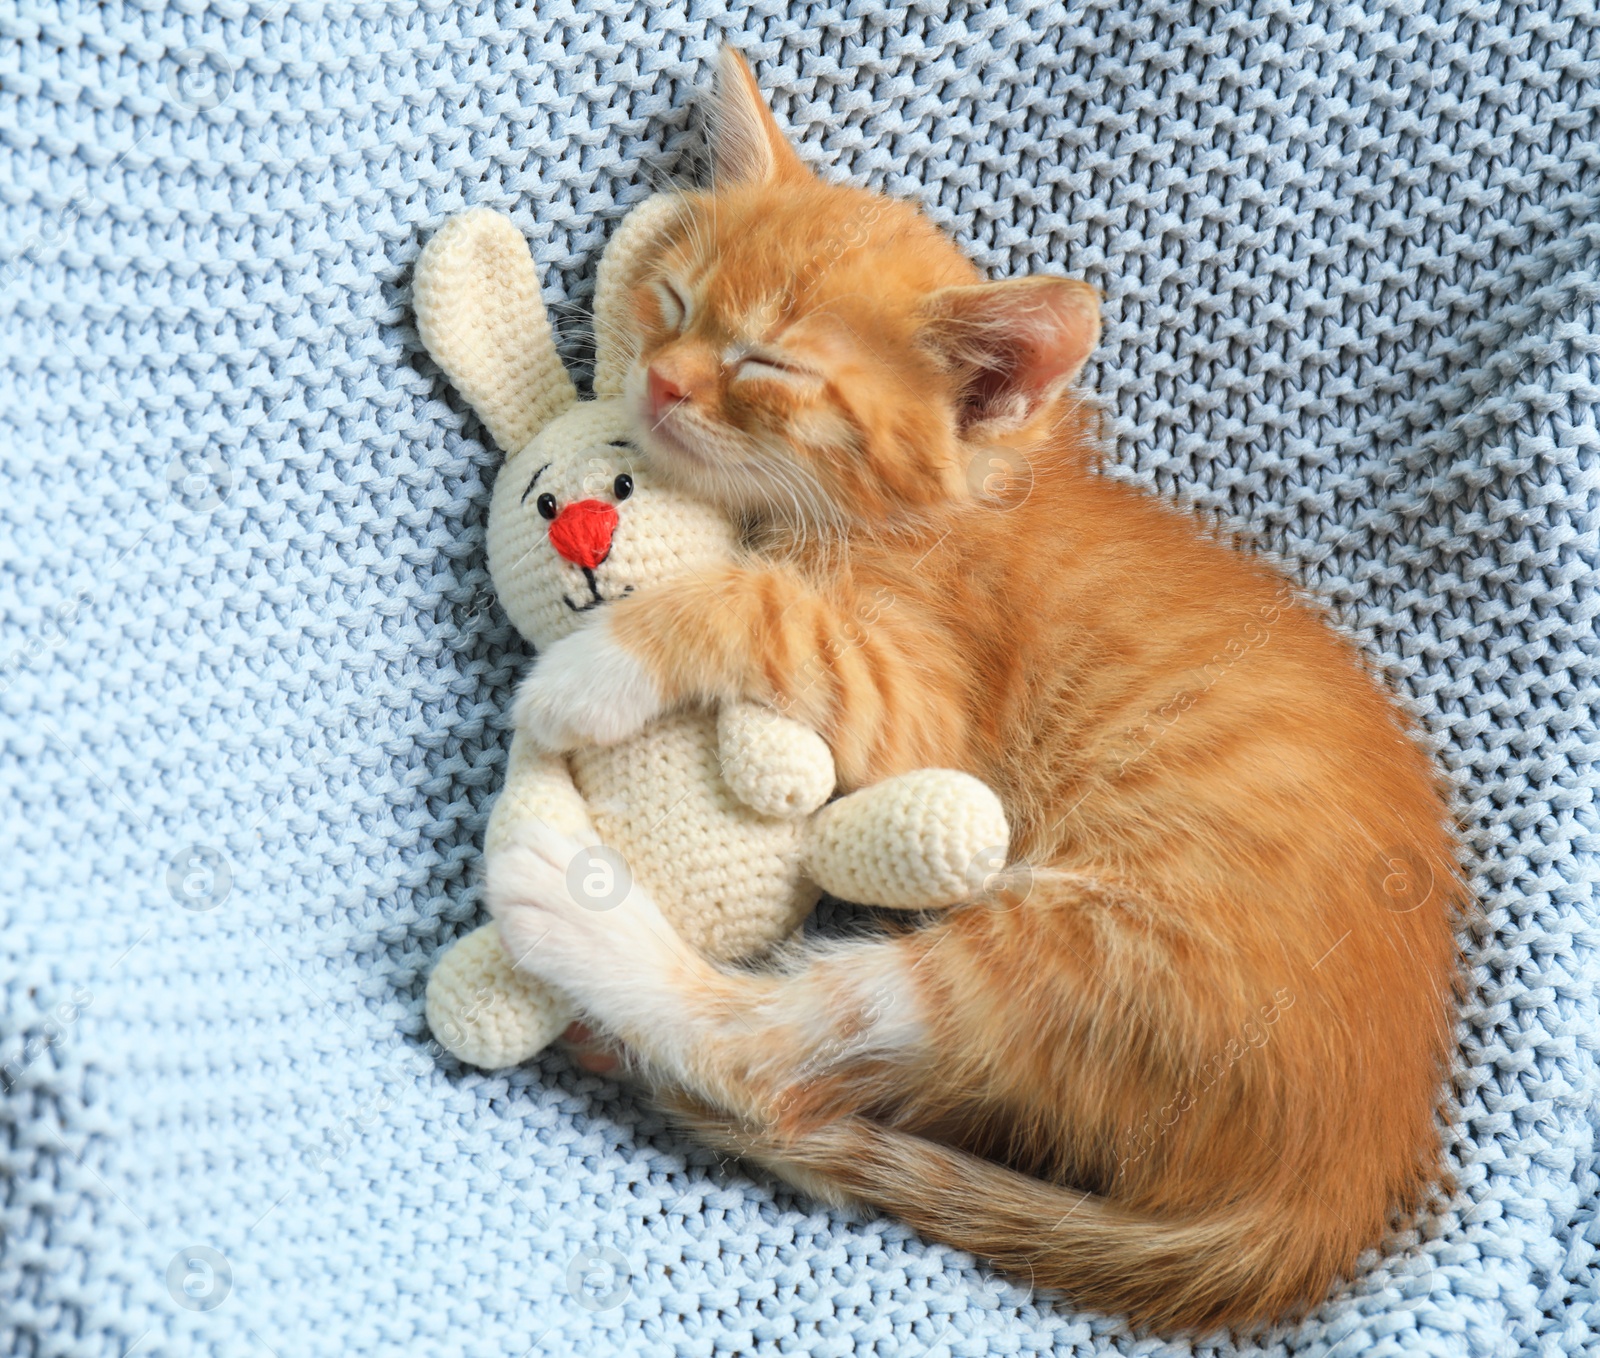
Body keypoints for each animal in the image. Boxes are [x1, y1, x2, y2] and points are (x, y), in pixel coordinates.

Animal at [492, 47, 1465, 1330]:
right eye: (675, 302)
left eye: (766, 363)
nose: (654, 383)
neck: (939, 502)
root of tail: (1325, 1200)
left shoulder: (923, 698)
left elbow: (760, 606)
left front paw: (587, 669)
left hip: (1082, 957)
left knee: (777, 1064)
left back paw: (571, 907)